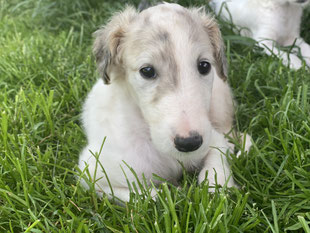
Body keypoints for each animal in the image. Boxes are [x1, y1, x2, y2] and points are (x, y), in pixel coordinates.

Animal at [78, 2, 240, 202]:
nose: (189, 143)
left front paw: (215, 188)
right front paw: (168, 193)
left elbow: (217, 162)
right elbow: (141, 195)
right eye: (147, 71)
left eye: (204, 65)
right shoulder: (93, 173)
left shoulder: (213, 138)